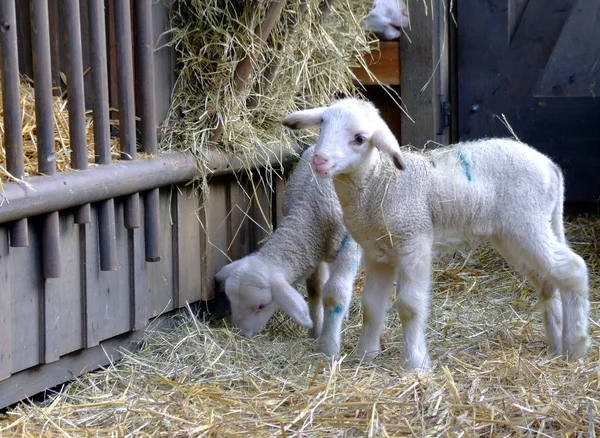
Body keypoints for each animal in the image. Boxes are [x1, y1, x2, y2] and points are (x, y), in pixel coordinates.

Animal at [214, 145, 360, 356]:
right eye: (230, 300)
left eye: (261, 306)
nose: (242, 334)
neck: (311, 210)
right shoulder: (313, 251)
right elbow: (315, 289)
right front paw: (316, 331)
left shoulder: (348, 243)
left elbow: (336, 295)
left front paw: (328, 347)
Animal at [282, 98, 592, 370]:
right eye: (322, 124)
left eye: (359, 138)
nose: (319, 161)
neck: (379, 184)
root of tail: (551, 167)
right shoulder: (377, 253)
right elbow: (371, 304)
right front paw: (365, 355)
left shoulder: (414, 241)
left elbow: (409, 305)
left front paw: (415, 364)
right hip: (514, 235)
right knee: (548, 280)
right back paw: (557, 345)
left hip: (528, 223)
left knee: (572, 269)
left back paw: (576, 347)